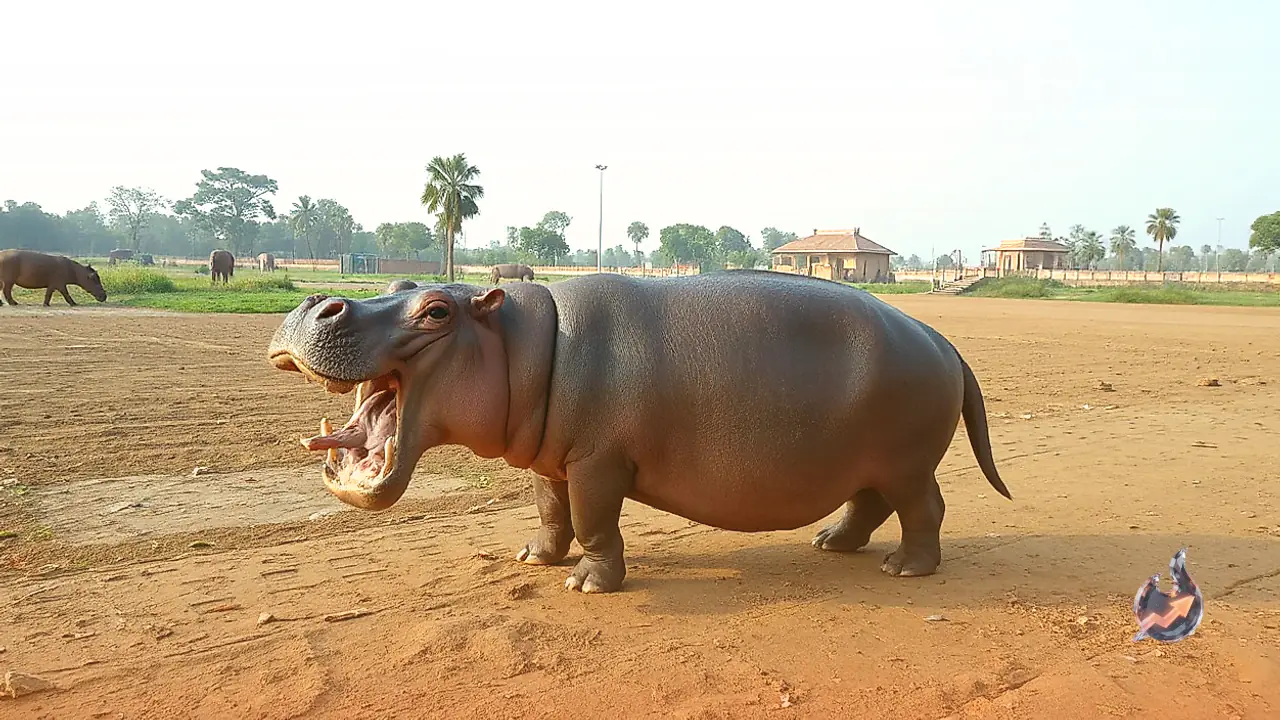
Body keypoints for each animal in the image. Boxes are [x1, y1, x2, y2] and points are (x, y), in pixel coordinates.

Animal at [266, 271, 1011, 595]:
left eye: (436, 311)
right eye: (400, 280)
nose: (316, 300)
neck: (518, 338)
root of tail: (945, 342)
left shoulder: (597, 462)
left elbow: (595, 522)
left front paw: (589, 584)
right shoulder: (553, 461)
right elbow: (553, 513)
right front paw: (534, 558)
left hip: (906, 461)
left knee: (925, 510)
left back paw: (905, 569)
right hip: (870, 461)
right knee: (868, 505)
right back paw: (830, 544)